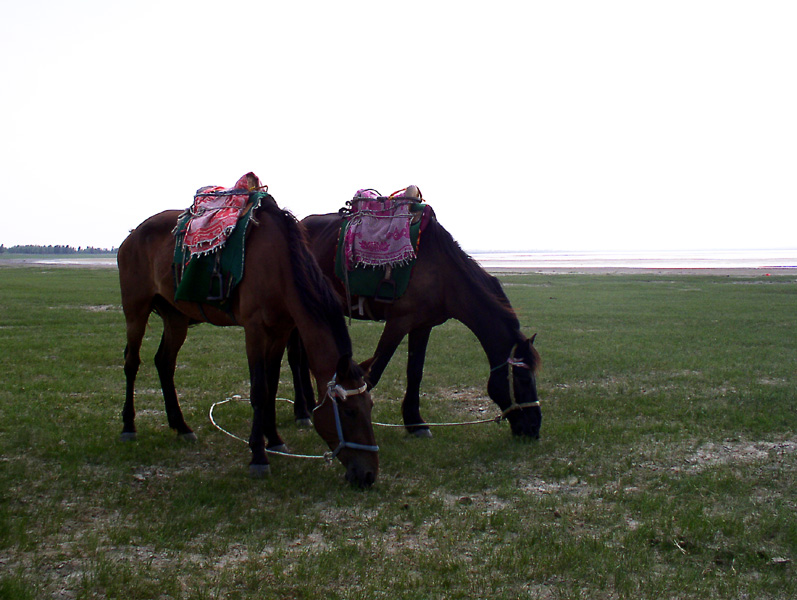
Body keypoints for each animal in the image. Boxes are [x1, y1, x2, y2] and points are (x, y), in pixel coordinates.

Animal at [116, 192, 380, 488]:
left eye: (370, 407)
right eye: (349, 412)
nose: (369, 474)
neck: (280, 264)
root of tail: (132, 235)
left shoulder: (280, 331)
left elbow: (272, 386)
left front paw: (273, 439)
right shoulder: (254, 331)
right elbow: (258, 391)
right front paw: (258, 455)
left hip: (176, 318)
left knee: (164, 363)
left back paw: (181, 427)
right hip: (135, 311)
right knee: (132, 363)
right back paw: (128, 426)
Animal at [286, 199, 540, 438]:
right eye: (524, 380)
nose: (535, 429)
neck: (442, 272)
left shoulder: (422, 325)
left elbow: (415, 372)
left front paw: (414, 422)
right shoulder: (399, 322)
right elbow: (374, 373)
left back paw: (311, 406)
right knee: (295, 359)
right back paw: (301, 411)